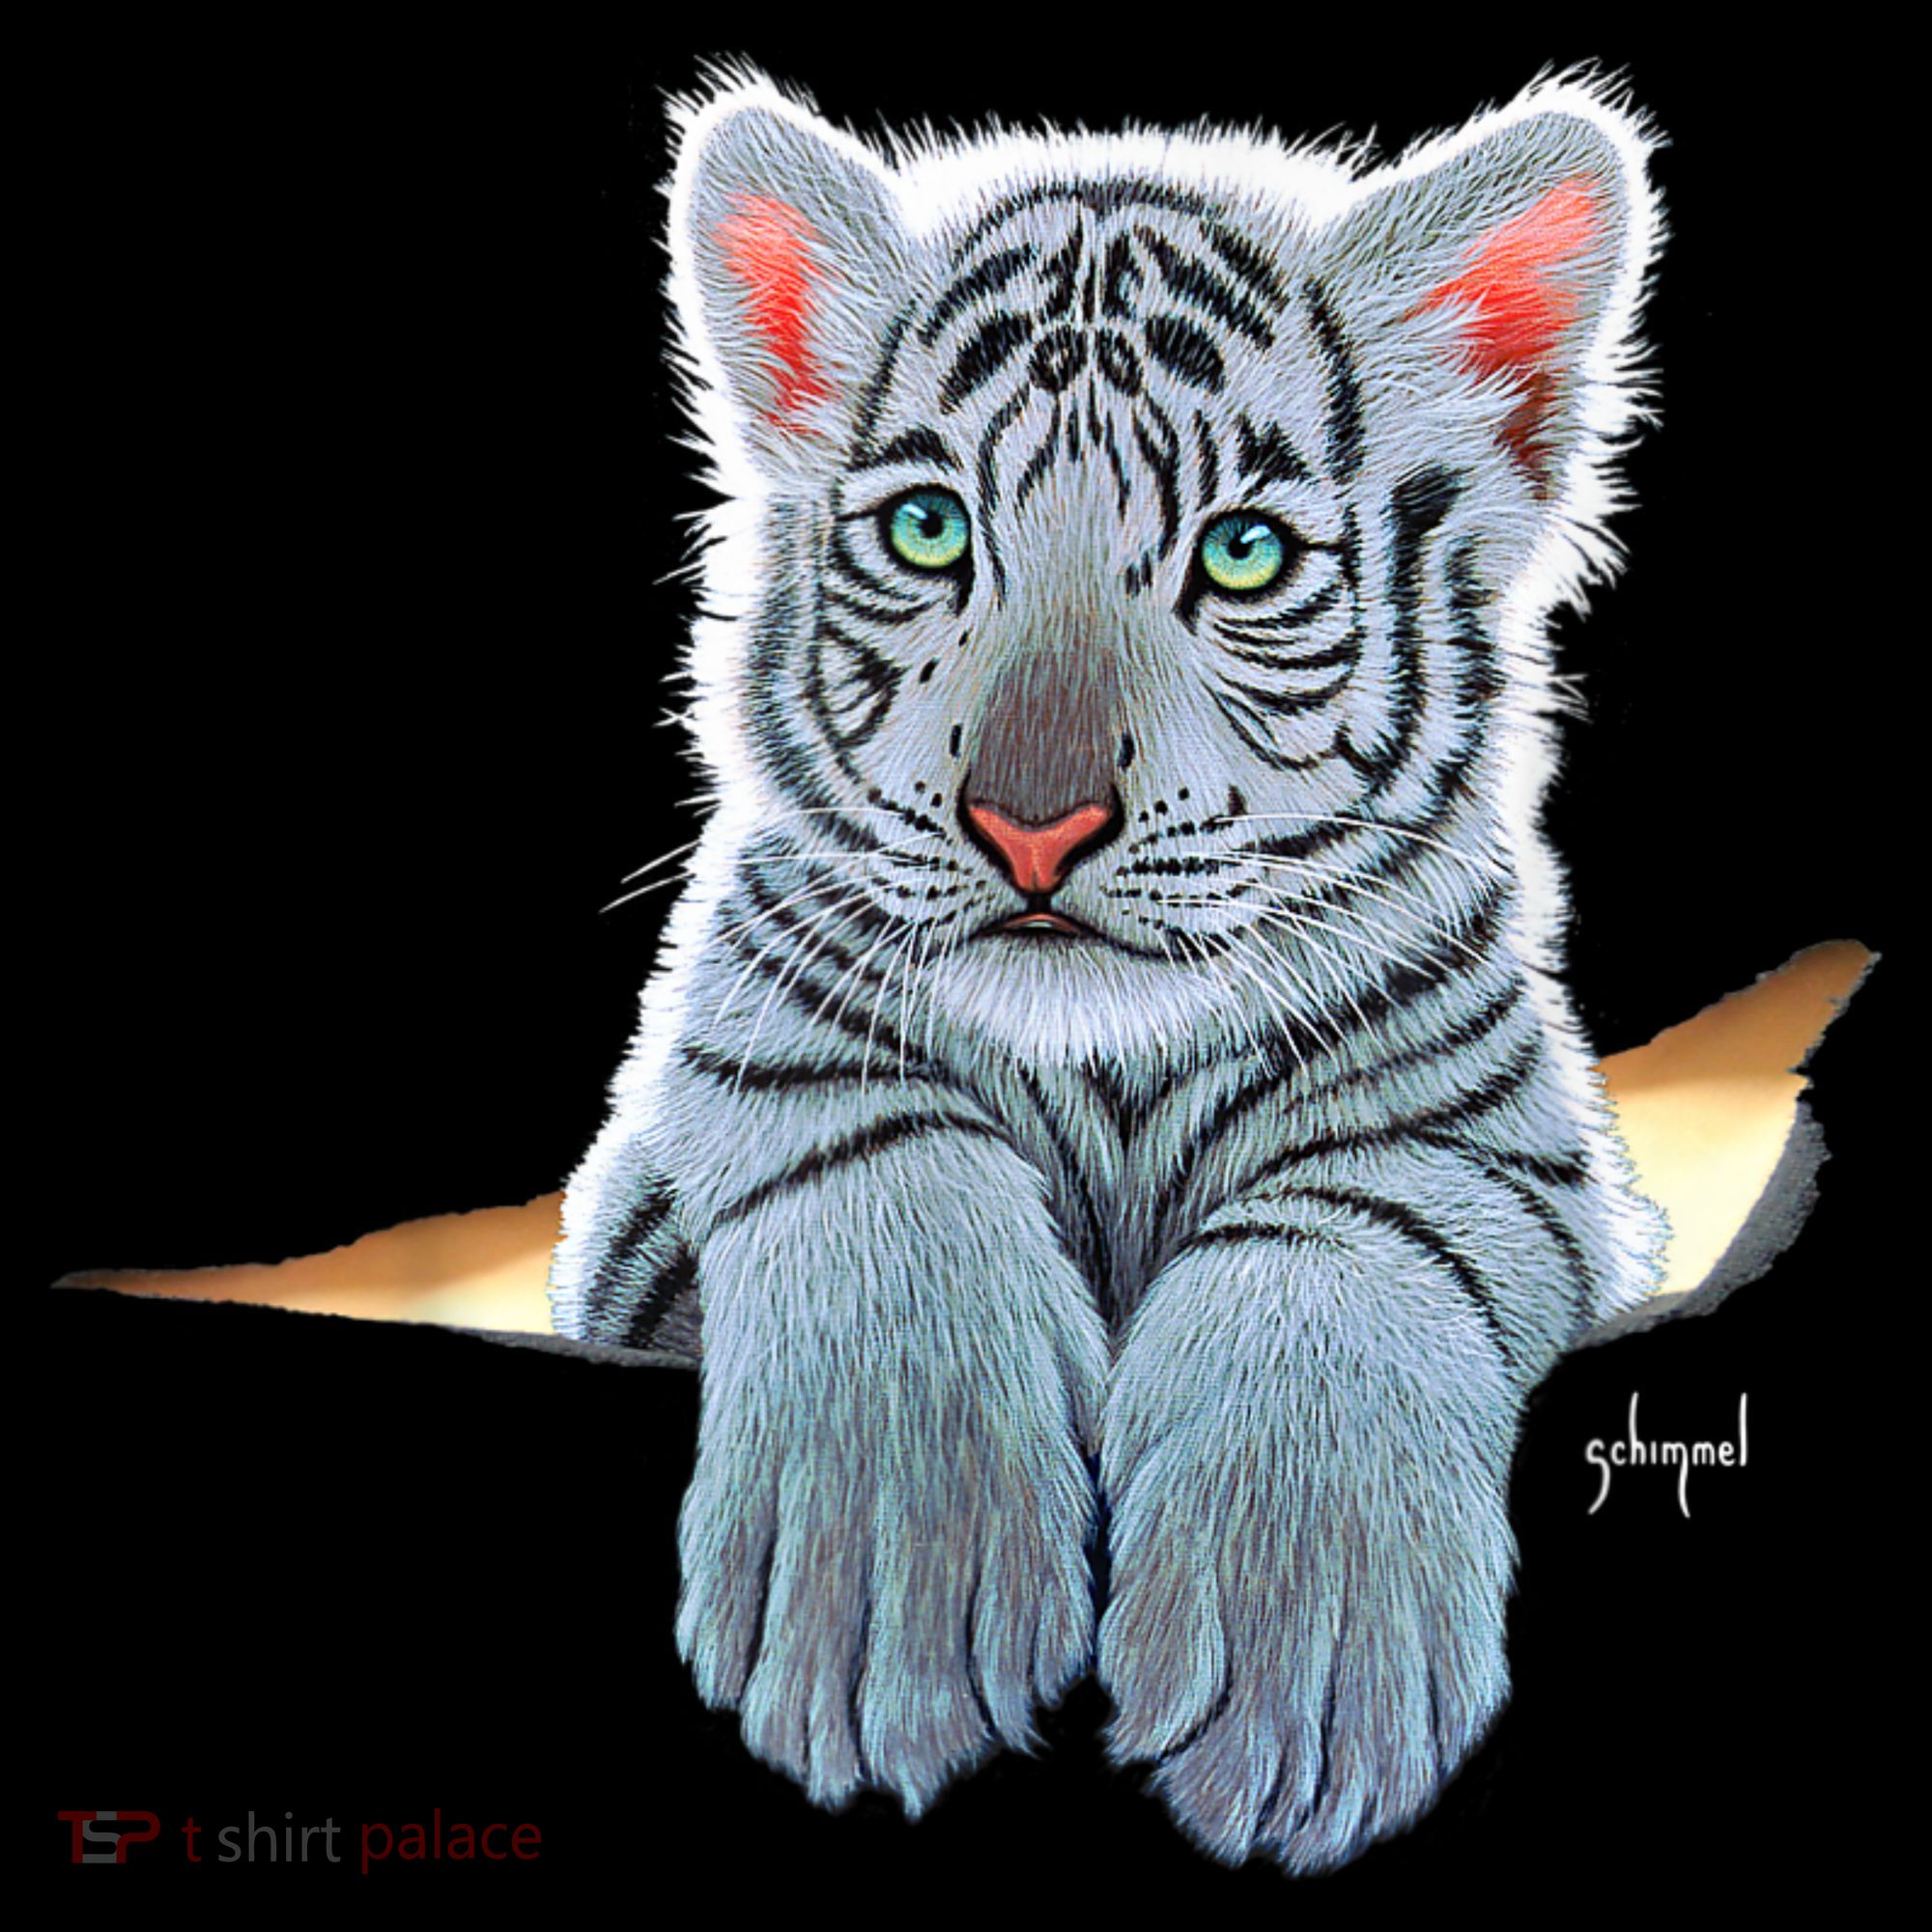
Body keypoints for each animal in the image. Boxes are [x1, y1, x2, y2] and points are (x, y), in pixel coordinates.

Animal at [549, 68, 1670, 1874]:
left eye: (1244, 556)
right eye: (929, 529)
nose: (1033, 827)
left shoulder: (1509, 1153)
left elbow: (1344, 1234)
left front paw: (1301, 1651)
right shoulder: (693, 1140)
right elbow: (875, 1160)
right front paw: (890, 1576)